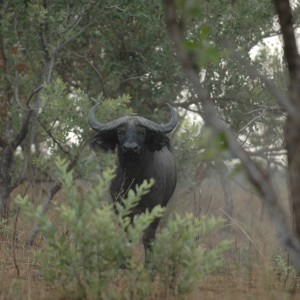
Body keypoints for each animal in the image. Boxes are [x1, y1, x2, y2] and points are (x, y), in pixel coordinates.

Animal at [87, 105, 178, 258]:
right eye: (120, 132)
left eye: (142, 132)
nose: (130, 148)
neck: (135, 179)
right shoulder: (120, 207)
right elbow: (127, 237)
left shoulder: (154, 207)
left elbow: (148, 238)